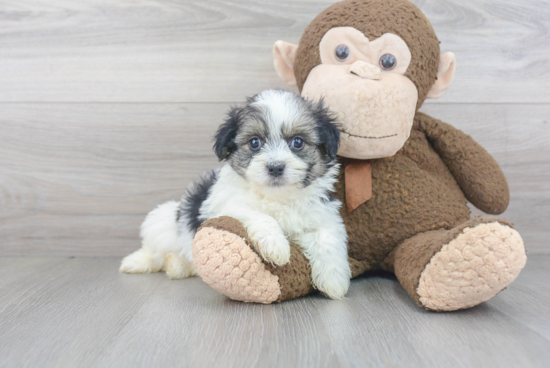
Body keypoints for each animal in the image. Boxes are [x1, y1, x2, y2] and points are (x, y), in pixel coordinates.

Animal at [121, 89, 354, 300]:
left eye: (297, 142)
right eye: (254, 142)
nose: (276, 167)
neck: (277, 197)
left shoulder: (324, 213)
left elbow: (328, 236)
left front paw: (334, 282)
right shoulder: (225, 206)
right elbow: (258, 215)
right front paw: (276, 246)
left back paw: (176, 266)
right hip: (163, 221)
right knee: (155, 250)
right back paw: (137, 262)